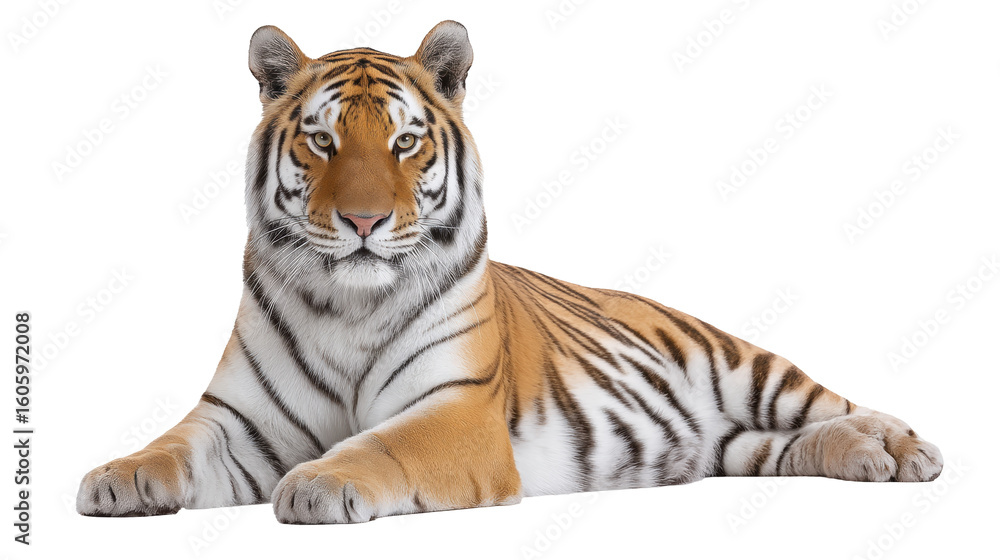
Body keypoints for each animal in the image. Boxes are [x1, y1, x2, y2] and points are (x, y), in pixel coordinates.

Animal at [77, 21, 943, 524]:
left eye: (404, 143)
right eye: (323, 142)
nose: (363, 222)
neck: (349, 306)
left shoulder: (456, 411)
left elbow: (378, 446)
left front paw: (317, 483)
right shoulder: (237, 419)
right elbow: (170, 446)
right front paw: (116, 478)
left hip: (747, 366)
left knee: (838, 405)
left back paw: (903, 450)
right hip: (730, 443)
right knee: (786, 444)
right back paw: (862, 457)